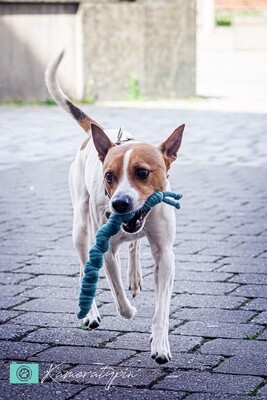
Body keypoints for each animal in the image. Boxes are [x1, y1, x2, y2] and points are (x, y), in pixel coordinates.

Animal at [45, 51, 185, 364]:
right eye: (109, 176)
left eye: (142, 173)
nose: (120, 203)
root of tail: (101, 133)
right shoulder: (106, 248)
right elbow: (117, 293)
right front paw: (129, 311)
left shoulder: (165, 254)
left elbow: (161, 306)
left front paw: (159, 344)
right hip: (81, 226)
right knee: (85, 265)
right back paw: (91, 312)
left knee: (133, 247)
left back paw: (134, 275)